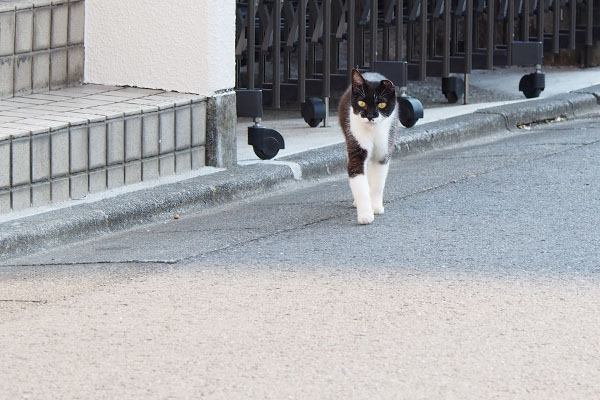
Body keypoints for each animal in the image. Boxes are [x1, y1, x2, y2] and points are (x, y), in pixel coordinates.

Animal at [338, 69, 398, 225]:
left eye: (381, 105)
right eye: (361, 102)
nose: (370, 116)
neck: (372, 131)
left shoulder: (384, 150)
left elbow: (378, 183)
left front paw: (375, 207)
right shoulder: (356, 142)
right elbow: (358, 177)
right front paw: (365, 214)